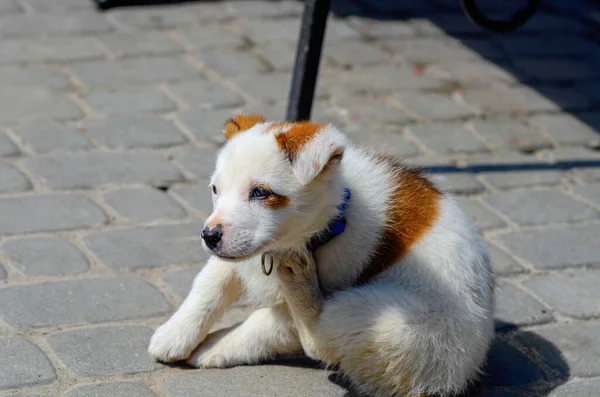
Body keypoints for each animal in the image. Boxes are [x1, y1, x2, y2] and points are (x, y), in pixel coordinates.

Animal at [148, 115, 494, 396]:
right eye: (215, 190)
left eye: (261, 192)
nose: (208, 236)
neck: (328, 221)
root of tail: (463, 370)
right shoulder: (237, 253)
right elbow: (207, 285)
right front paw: (175, 334)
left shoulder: (290, 307)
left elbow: (260, 325)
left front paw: (215, 345)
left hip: (378, 315)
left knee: (320, 339)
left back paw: (296, 276)